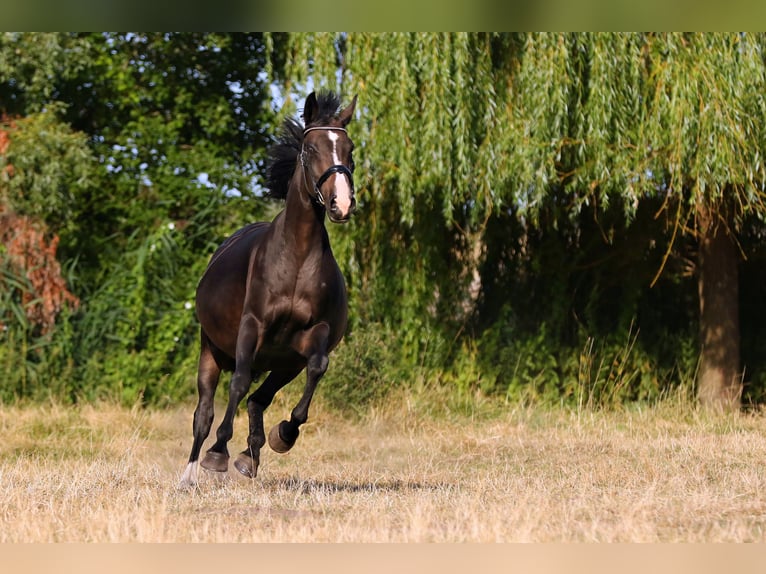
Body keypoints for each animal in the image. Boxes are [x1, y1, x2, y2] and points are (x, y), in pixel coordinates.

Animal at [182, 92, 358, 488]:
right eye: (310, 148)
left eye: (350, 149)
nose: (341, 204)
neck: (295, 256)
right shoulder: (252, 326)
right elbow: (238, 383)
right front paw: (218, 454)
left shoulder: (313, 336)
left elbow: (317, 368)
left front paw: (285, 434)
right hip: (211, 350)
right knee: (205, 413)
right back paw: (190, 474)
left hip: (283, 364)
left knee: (258, 400)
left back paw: (249, 458)